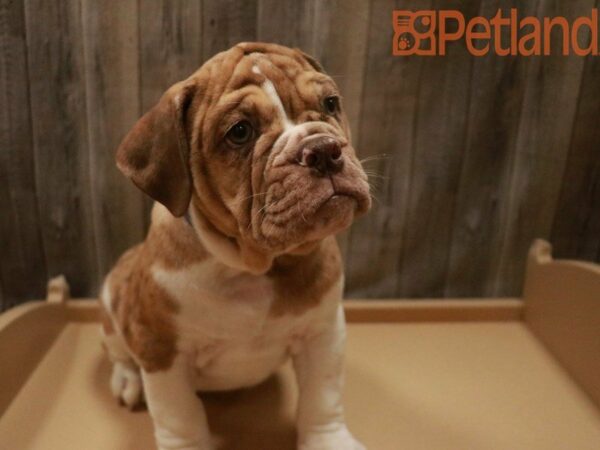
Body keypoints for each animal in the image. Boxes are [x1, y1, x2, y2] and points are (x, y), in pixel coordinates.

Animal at [99, 43, 370, 450]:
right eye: (240, 132)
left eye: (331, 103)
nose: (323, 149)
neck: (254, 267)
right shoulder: (162, 351)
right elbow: (180, 417)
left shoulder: (323, 333)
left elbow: (322, 398)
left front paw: (329, 441)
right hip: (111, 305)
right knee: (120, 353)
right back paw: (127, 381)